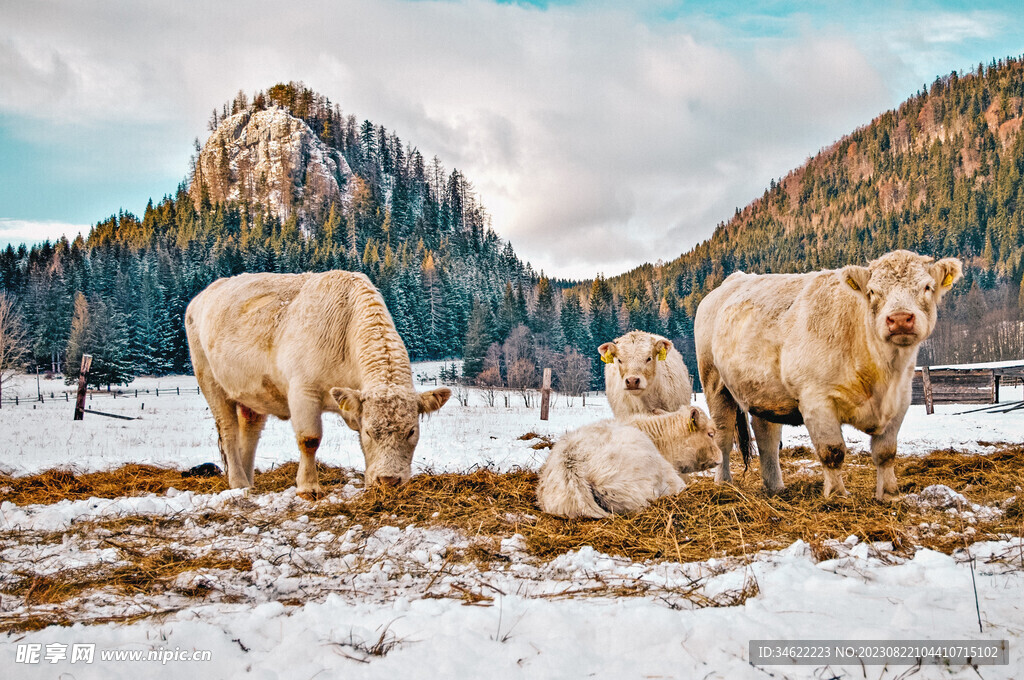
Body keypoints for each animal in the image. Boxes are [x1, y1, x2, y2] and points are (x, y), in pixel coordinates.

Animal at [183, 268, 452, 497]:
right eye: (370, 431)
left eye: (411, 431)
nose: (389, 480)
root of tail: (202, 297)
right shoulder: (303, 392)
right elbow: (309, 440)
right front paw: (308, 487)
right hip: (210, 381)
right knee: (228, 431)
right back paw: (238, 483)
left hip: (254, 394)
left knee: (250, 432)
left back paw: (249, 481)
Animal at [696, 249, 958, 499]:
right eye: (873, 291)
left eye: (927, 287)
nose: (900, 318)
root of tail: (733, 280)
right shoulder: (816, 400)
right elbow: (832, 451)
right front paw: (836, 495)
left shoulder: (900, 400)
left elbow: (886, 453)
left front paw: (890, 495)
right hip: (714, 382)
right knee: (722, 436)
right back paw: (723, 483)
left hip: (765, 392)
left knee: (766, 436)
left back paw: (775, 487)